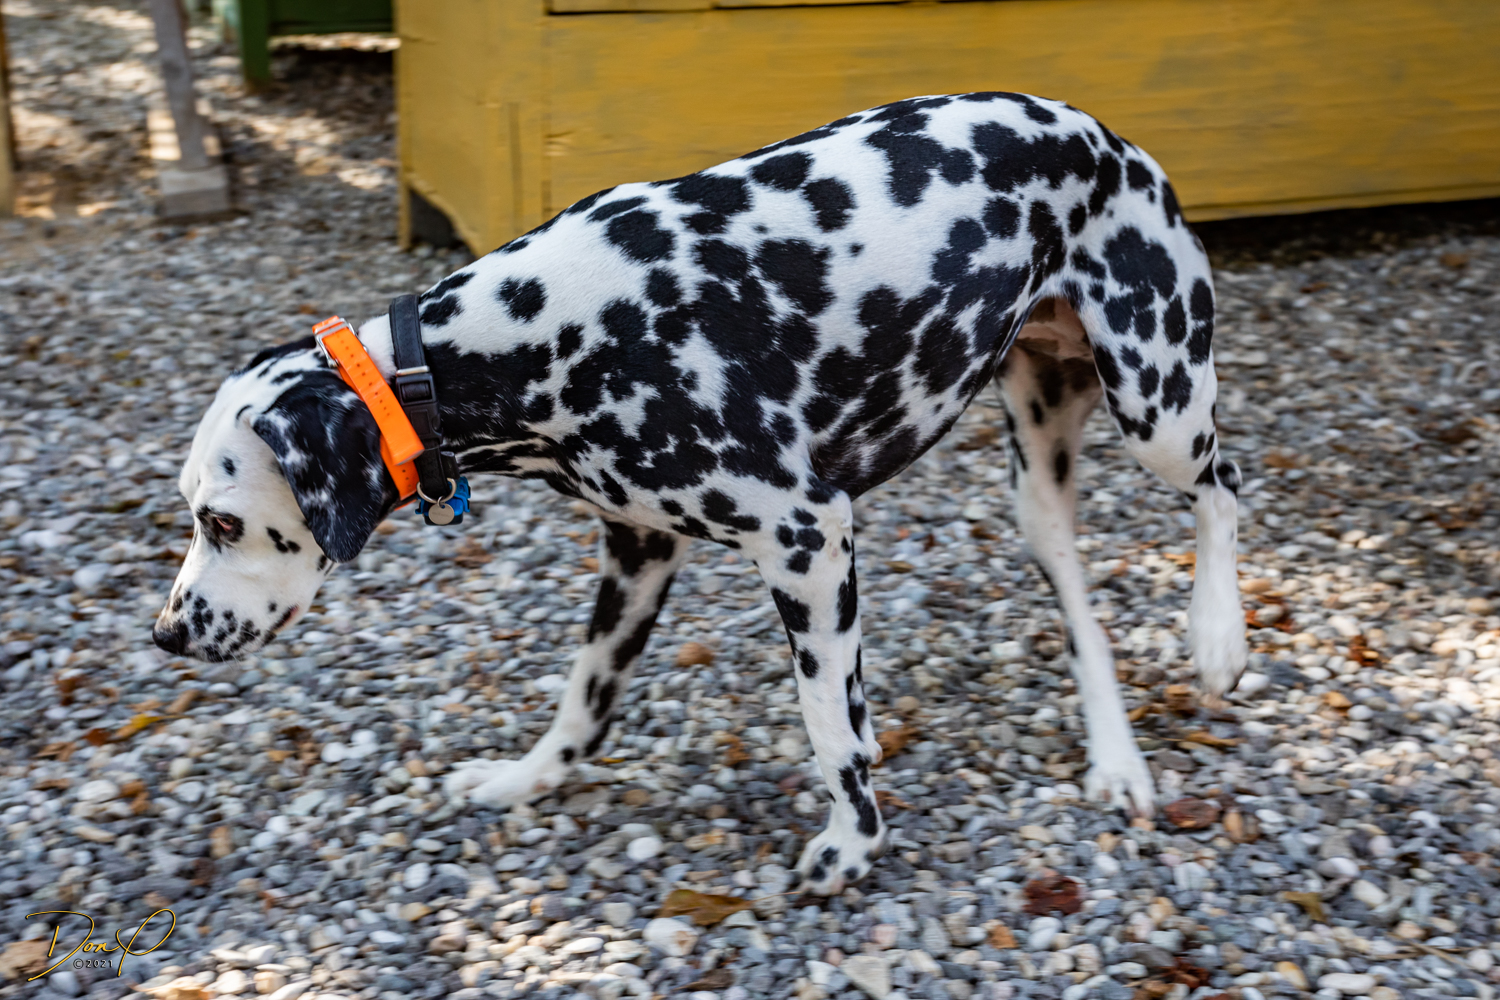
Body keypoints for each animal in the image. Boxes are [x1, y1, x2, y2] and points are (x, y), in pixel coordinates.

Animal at [155, 93, 1246, 894]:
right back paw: (1119, 759)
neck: (533, 335)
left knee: (1225, 485)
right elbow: (584, 702)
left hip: (1159, 409)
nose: (166, 633)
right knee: (1082, 601)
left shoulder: (809, 540)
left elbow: (834, 728)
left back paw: (1218, 637)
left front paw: (852, 844)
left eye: (222, 521)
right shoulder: (637, 551)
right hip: (1040, 483)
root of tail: (1104, 134)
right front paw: (522, 781)